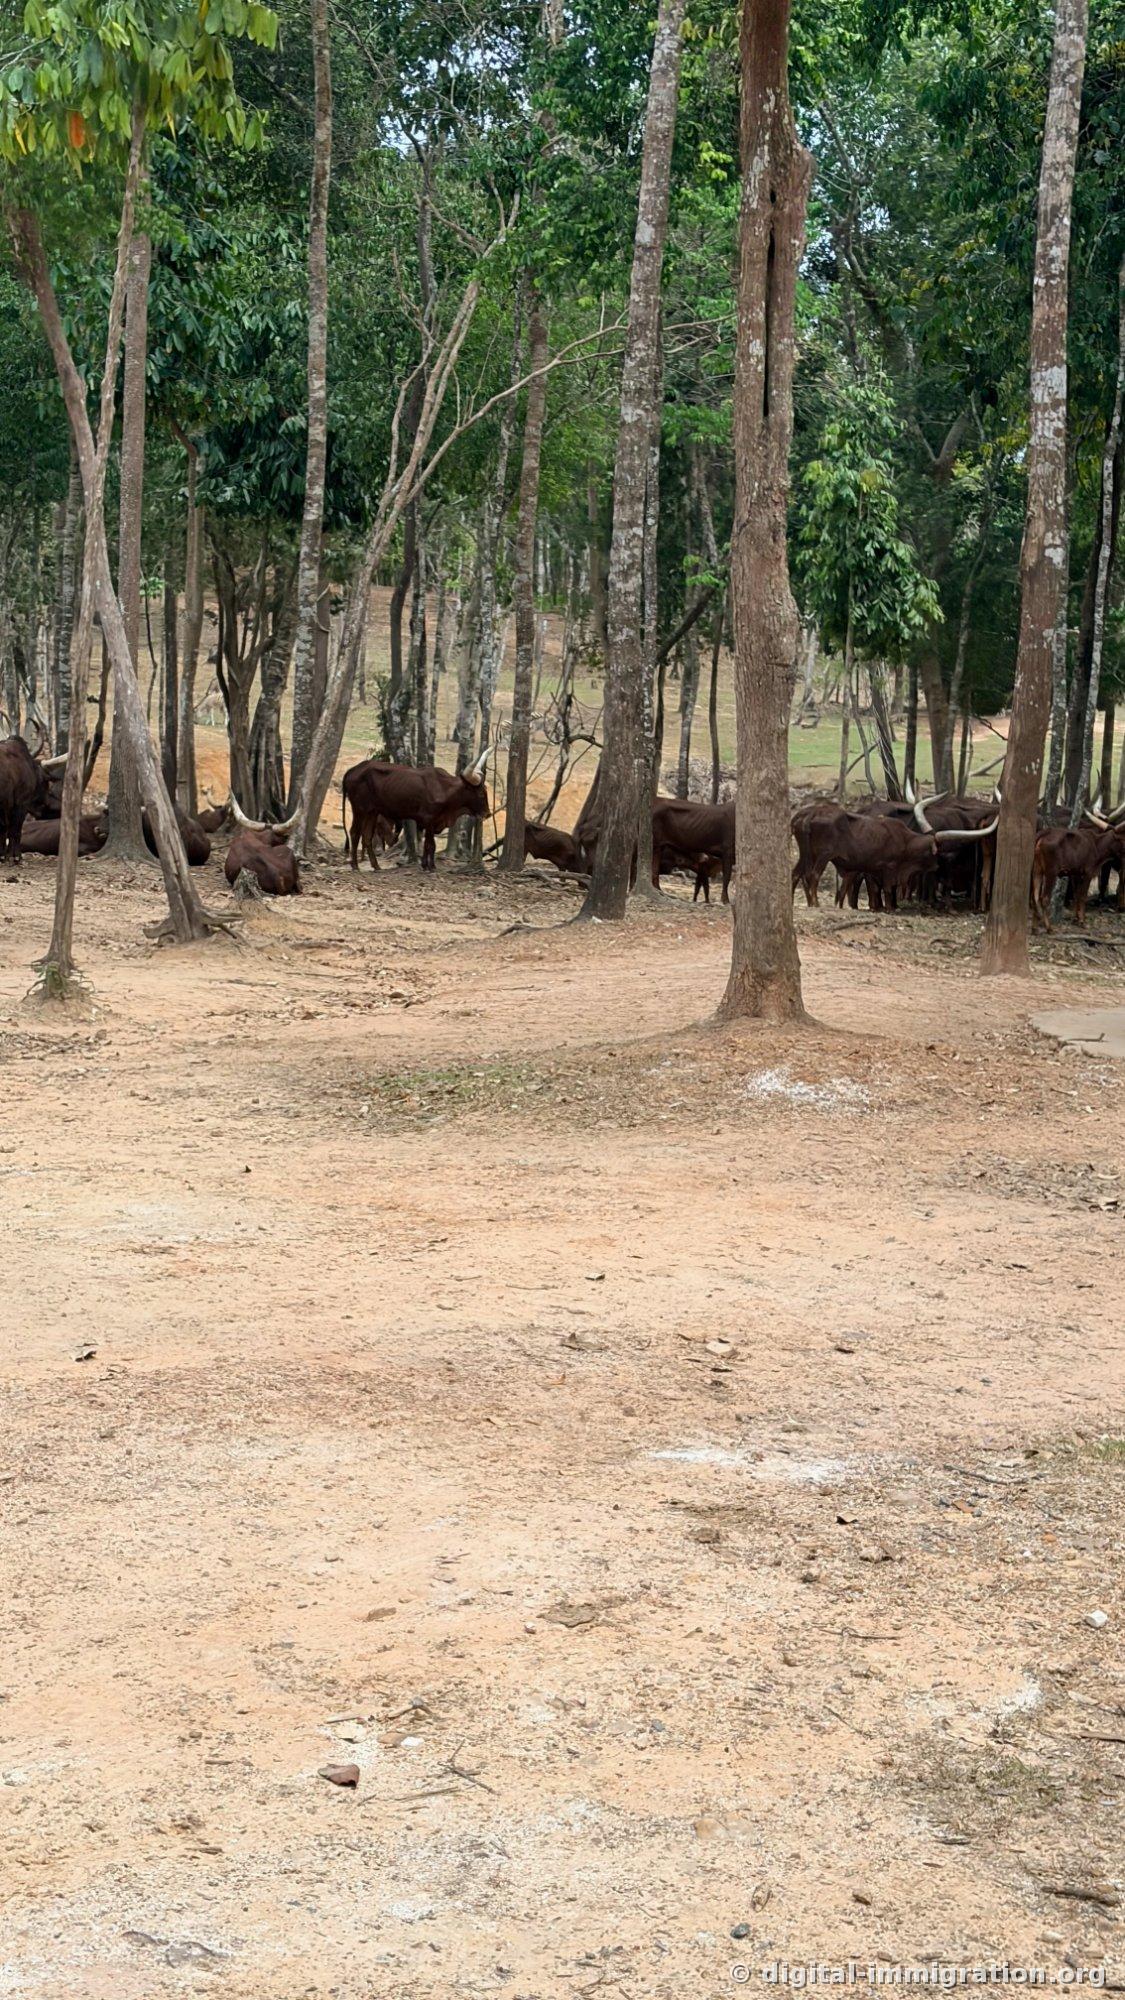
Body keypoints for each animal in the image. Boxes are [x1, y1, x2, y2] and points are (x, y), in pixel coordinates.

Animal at [0, 735, 66, 864]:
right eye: (45, 782)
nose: (58, 809)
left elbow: (5, 830)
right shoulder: (21, 803)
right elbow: (15, 830)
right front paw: (14, 856)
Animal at [341, 750, 490, 872]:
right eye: (481, 794)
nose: (487, 813)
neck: (444, 788)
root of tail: (353, 770)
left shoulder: (430, 822)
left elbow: (428, 845)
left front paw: (427, 865)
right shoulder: (429, 820)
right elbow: (430, 844)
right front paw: (429, 867)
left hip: (372, 812)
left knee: (367, 836)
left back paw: (376, 866)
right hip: (359, 809)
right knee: (354, 833)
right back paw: (355, 865)